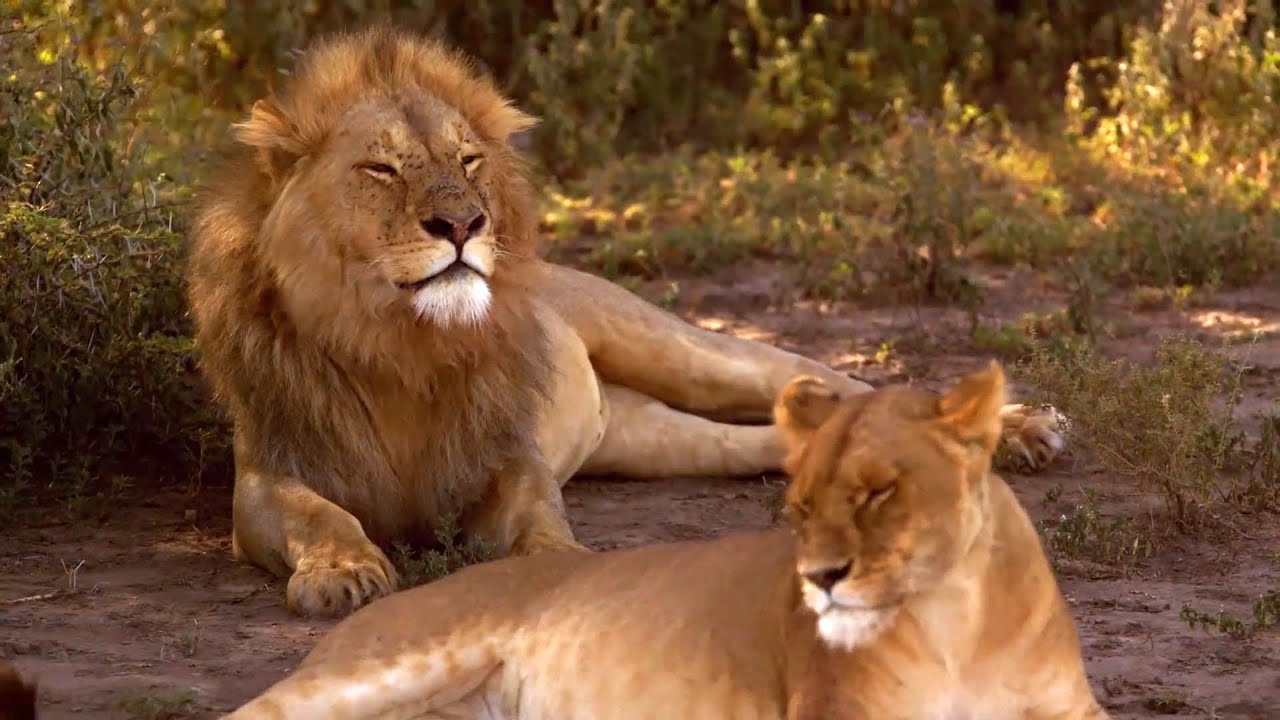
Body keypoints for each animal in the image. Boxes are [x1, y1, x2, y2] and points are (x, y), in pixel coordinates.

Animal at [186, 24, 1067, 619]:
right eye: (380, 167)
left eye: (469, 160)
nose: (466, 223)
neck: (397, 342)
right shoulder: (268, 473)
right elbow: (319, 514)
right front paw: (343, 571)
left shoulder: (509, 456)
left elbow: (538, 510)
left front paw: (554, 564)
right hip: (654, 439)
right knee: (766, 440)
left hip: (687, 350)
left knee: (838, 384)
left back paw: (1024, 430)